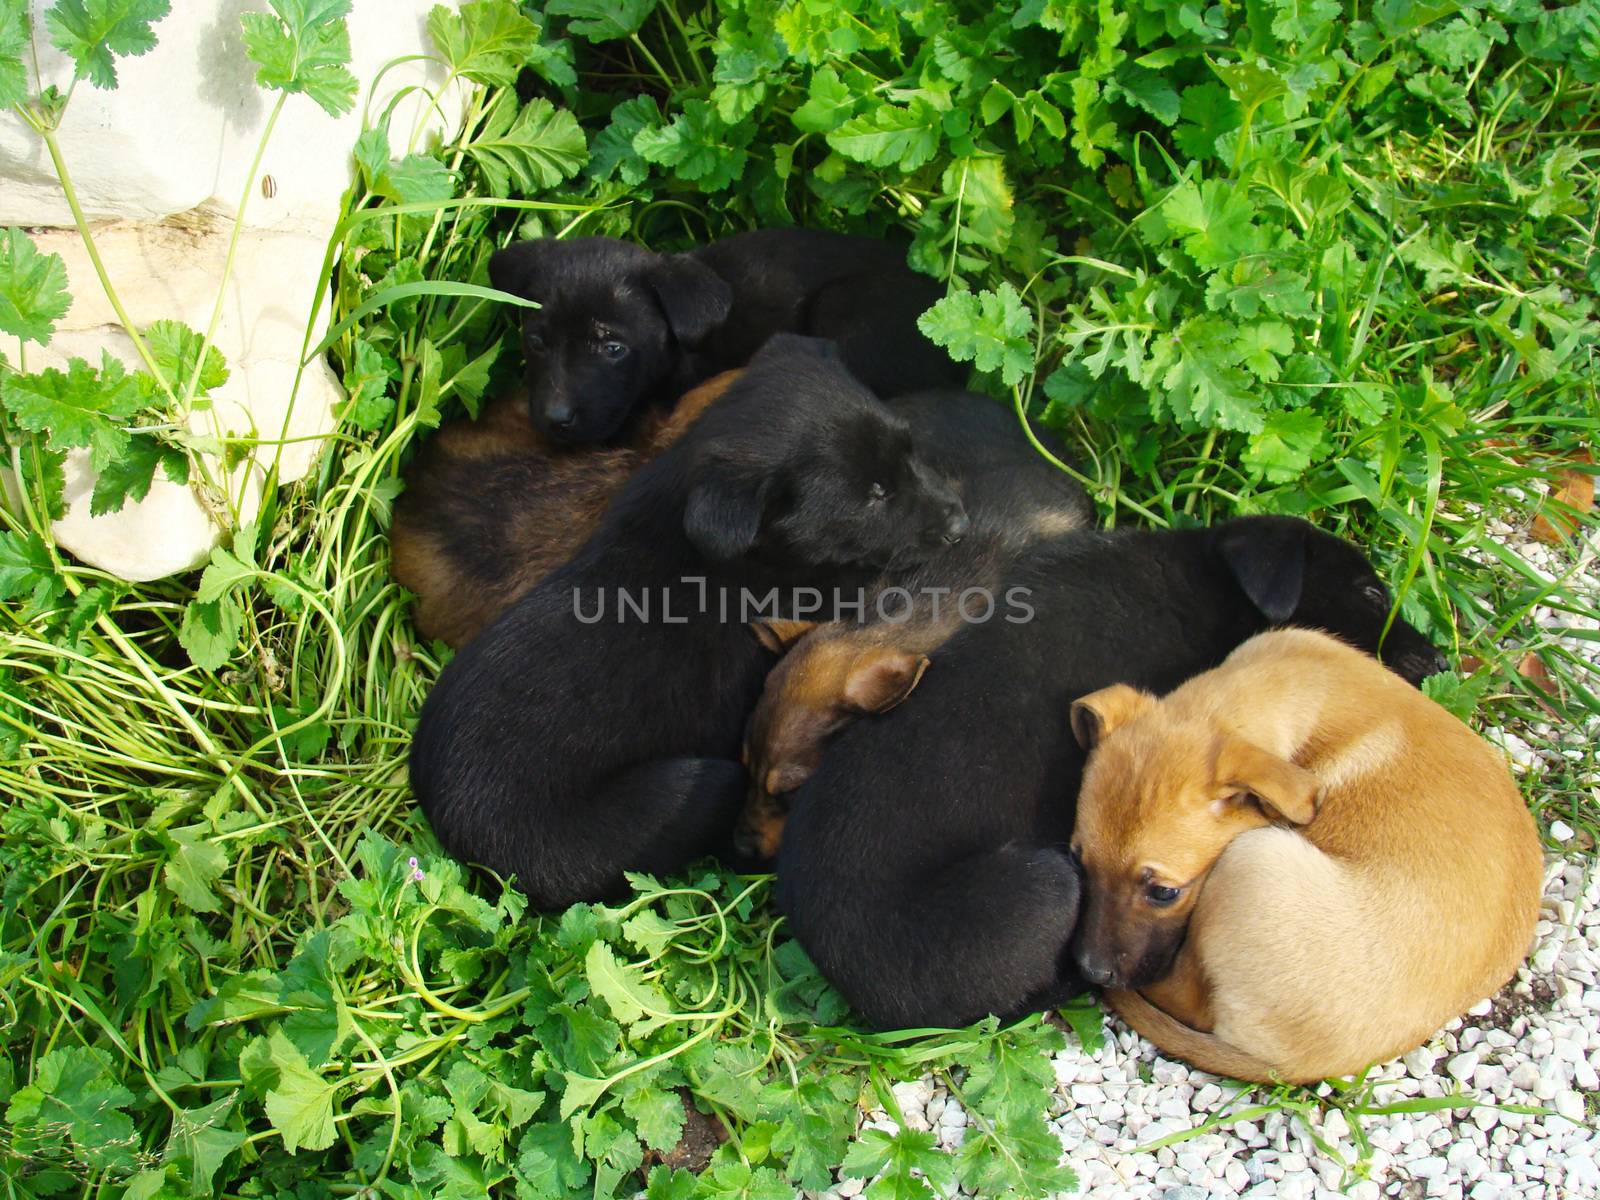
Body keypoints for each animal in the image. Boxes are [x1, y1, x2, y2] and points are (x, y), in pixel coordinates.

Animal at [1068, 630, 1542, 1088]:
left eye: (1164, 892)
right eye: (1080, 864)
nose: (1091, 971)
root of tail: (1299, 1067)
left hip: (1253, 858)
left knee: (1191, 1000)